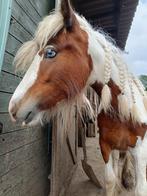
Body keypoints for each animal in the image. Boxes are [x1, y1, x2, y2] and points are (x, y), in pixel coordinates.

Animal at [8, 0, 147, 195]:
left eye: (50, 52)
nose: (13, 107)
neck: (122, 111)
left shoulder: (141, 152)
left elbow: (140, 188)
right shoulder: (106, 146)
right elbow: (110, 180)